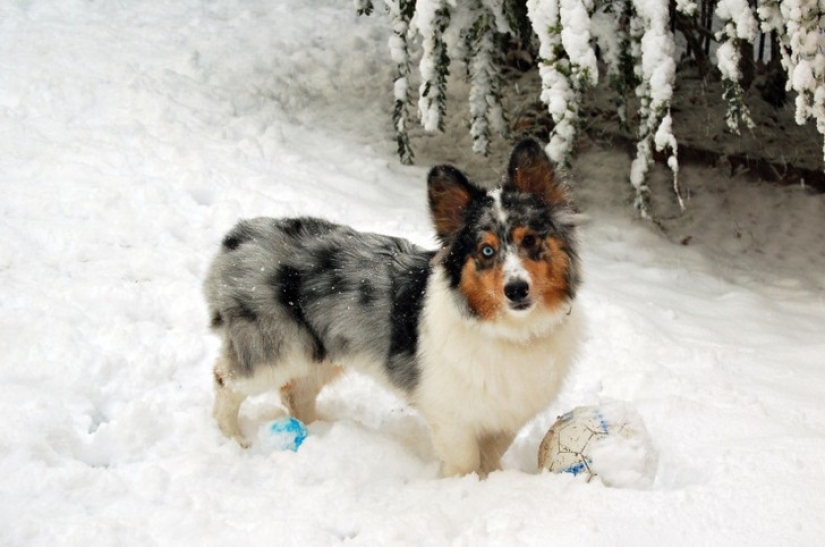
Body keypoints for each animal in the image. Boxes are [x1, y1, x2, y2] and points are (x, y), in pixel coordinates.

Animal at [204, 139, 580, 478]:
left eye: (530, 239)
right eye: (486, 251)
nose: (516, 290)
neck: (510, 331)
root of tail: (236, 238)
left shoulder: (506, 416)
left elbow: (490, 456)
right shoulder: (451, 416)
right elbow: (465, 463)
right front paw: (461, 488)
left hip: (320, 352)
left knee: (296, 393)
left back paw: (318, 433)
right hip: (277, 350)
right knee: (226, 380)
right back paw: (236, 439)